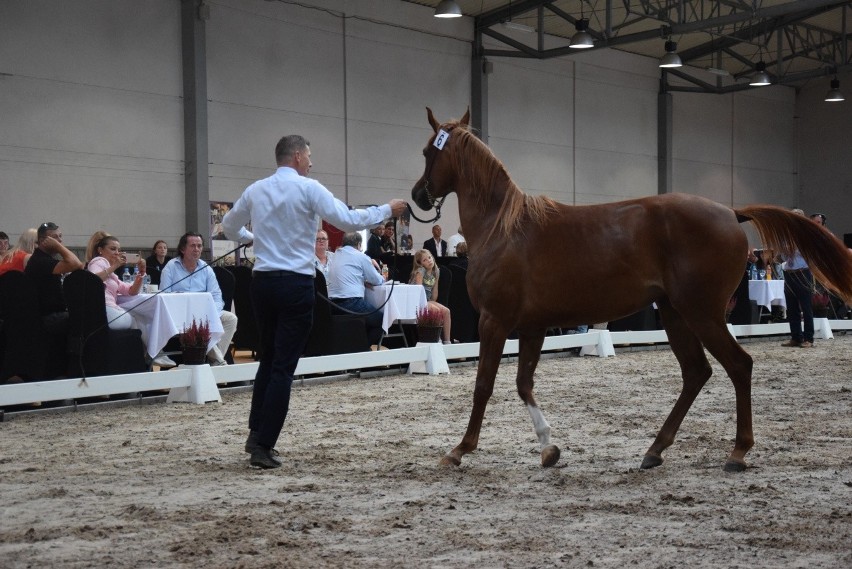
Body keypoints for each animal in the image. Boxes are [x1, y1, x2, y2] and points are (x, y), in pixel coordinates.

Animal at [412, 107, 852, 470]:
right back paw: (655, 449)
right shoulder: (533, 326)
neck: (504, 229)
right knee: (697, 372)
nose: (418, 195)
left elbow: (483, 386)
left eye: (427, 151)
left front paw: (459, 450)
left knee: (738, 365)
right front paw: (548, 447)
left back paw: (738, 451)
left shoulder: (494, 321)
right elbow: (524, 384)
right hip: (676, 314)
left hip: (702, 313)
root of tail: (730, 212)